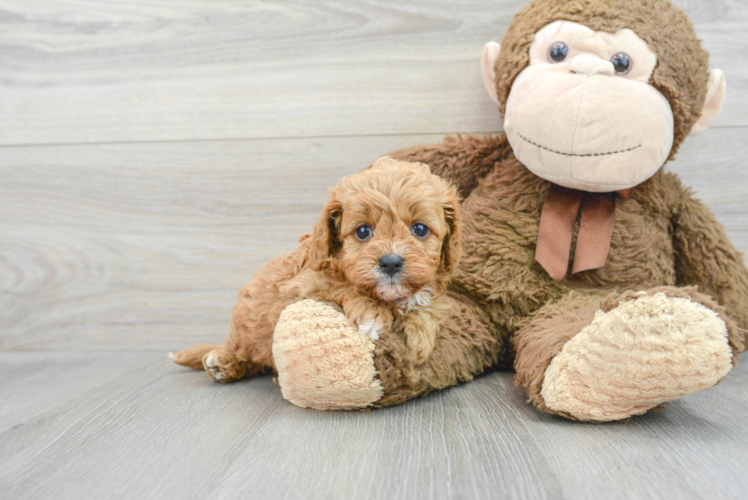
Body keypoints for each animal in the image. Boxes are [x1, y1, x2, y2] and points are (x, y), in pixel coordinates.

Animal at [174, 156, 462, 382]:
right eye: (363, 231)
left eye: (420, 229)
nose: (391, 262)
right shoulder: (304, 283)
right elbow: (343, 285)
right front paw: (372, 314)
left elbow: (426, 305)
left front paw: (420, 335)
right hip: (244, 330)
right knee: (242, 353)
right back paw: (222, 362)